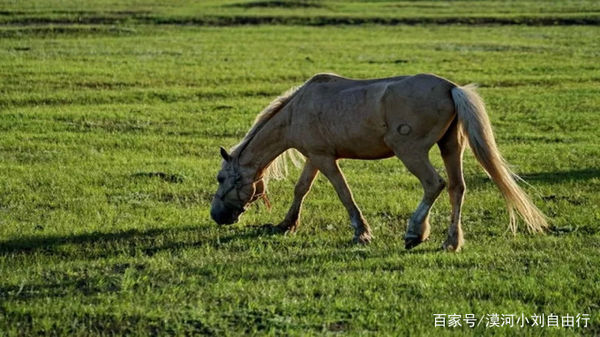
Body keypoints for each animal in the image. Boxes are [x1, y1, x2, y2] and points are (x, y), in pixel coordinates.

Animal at [209, 73, 548, 252]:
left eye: (220, 178)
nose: (217, 216)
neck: (296, 111)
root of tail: (450, 88)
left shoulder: (325, 159)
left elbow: (344, 194)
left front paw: (362, 232)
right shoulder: (315, 157)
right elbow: (301, 189)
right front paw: (286, 223)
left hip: (411, 152)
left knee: (433, 184)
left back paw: (415, 232)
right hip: (451, 147)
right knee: (456, 188)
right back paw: (451, 242)